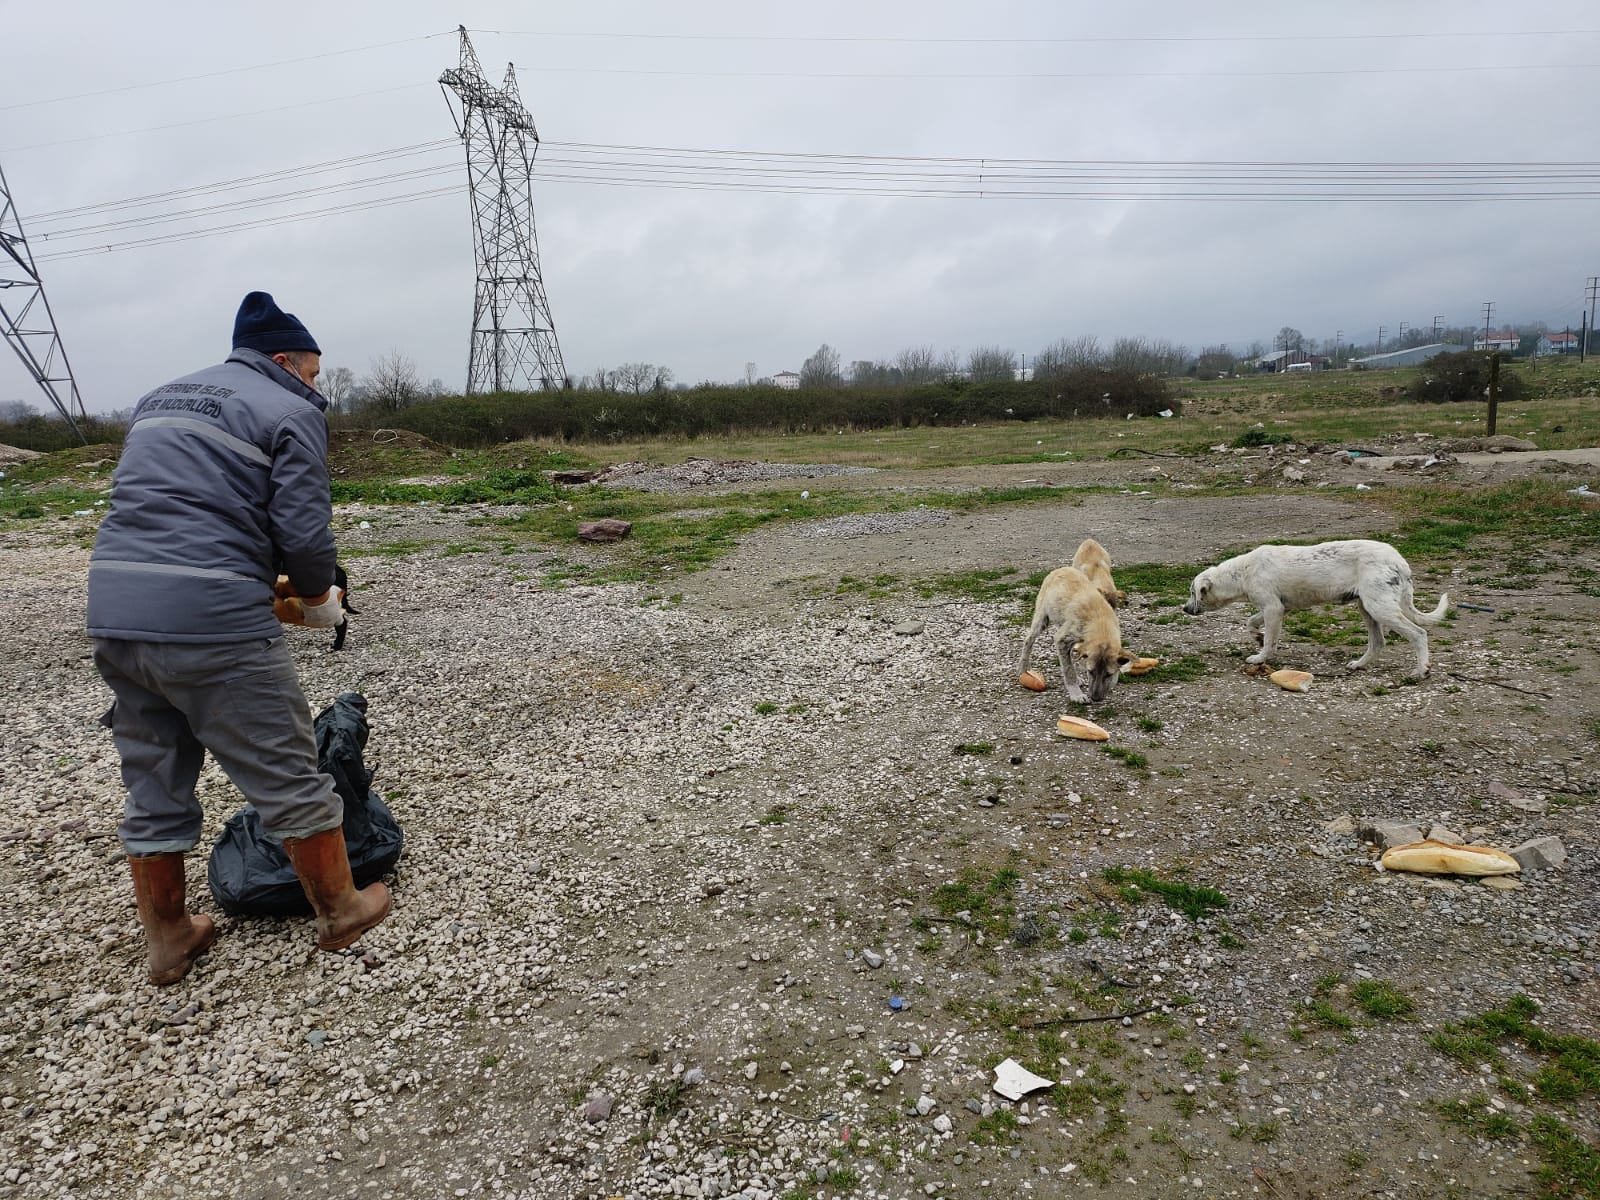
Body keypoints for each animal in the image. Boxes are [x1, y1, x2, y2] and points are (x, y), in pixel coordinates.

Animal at [1177, 544, 1452, 678]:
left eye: (1192, 592)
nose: (1185, 608)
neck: (1242, 571)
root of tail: (1401, 563)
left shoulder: (1273, 609)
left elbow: (1270, 641)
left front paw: (1261, 657)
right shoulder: (1278, 608)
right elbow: (1251, 623)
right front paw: (1257, 637)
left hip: (1380, 608)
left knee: (1419, 633)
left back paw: (1422, 669)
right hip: (1367, 608)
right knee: (1378, 643)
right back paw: (1358, 665)